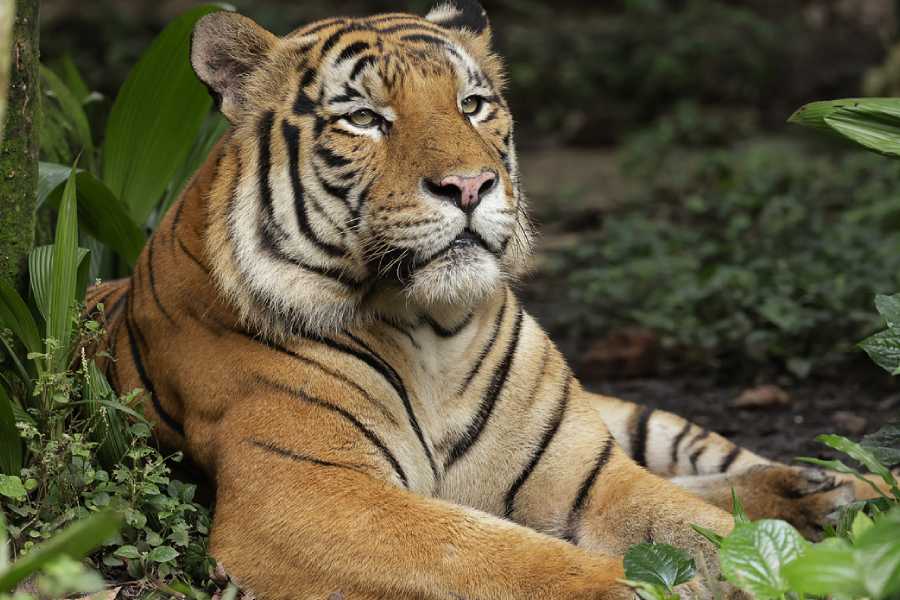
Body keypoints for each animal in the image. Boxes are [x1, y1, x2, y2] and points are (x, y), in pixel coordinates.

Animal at [85, 2, 876, 598]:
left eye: (471, 105)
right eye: (365, 118)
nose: (469, 186)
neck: (433, 329)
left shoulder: (586, 474)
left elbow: (709, 528)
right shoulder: (306, 493)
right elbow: (496, 555)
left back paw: (835, 491)